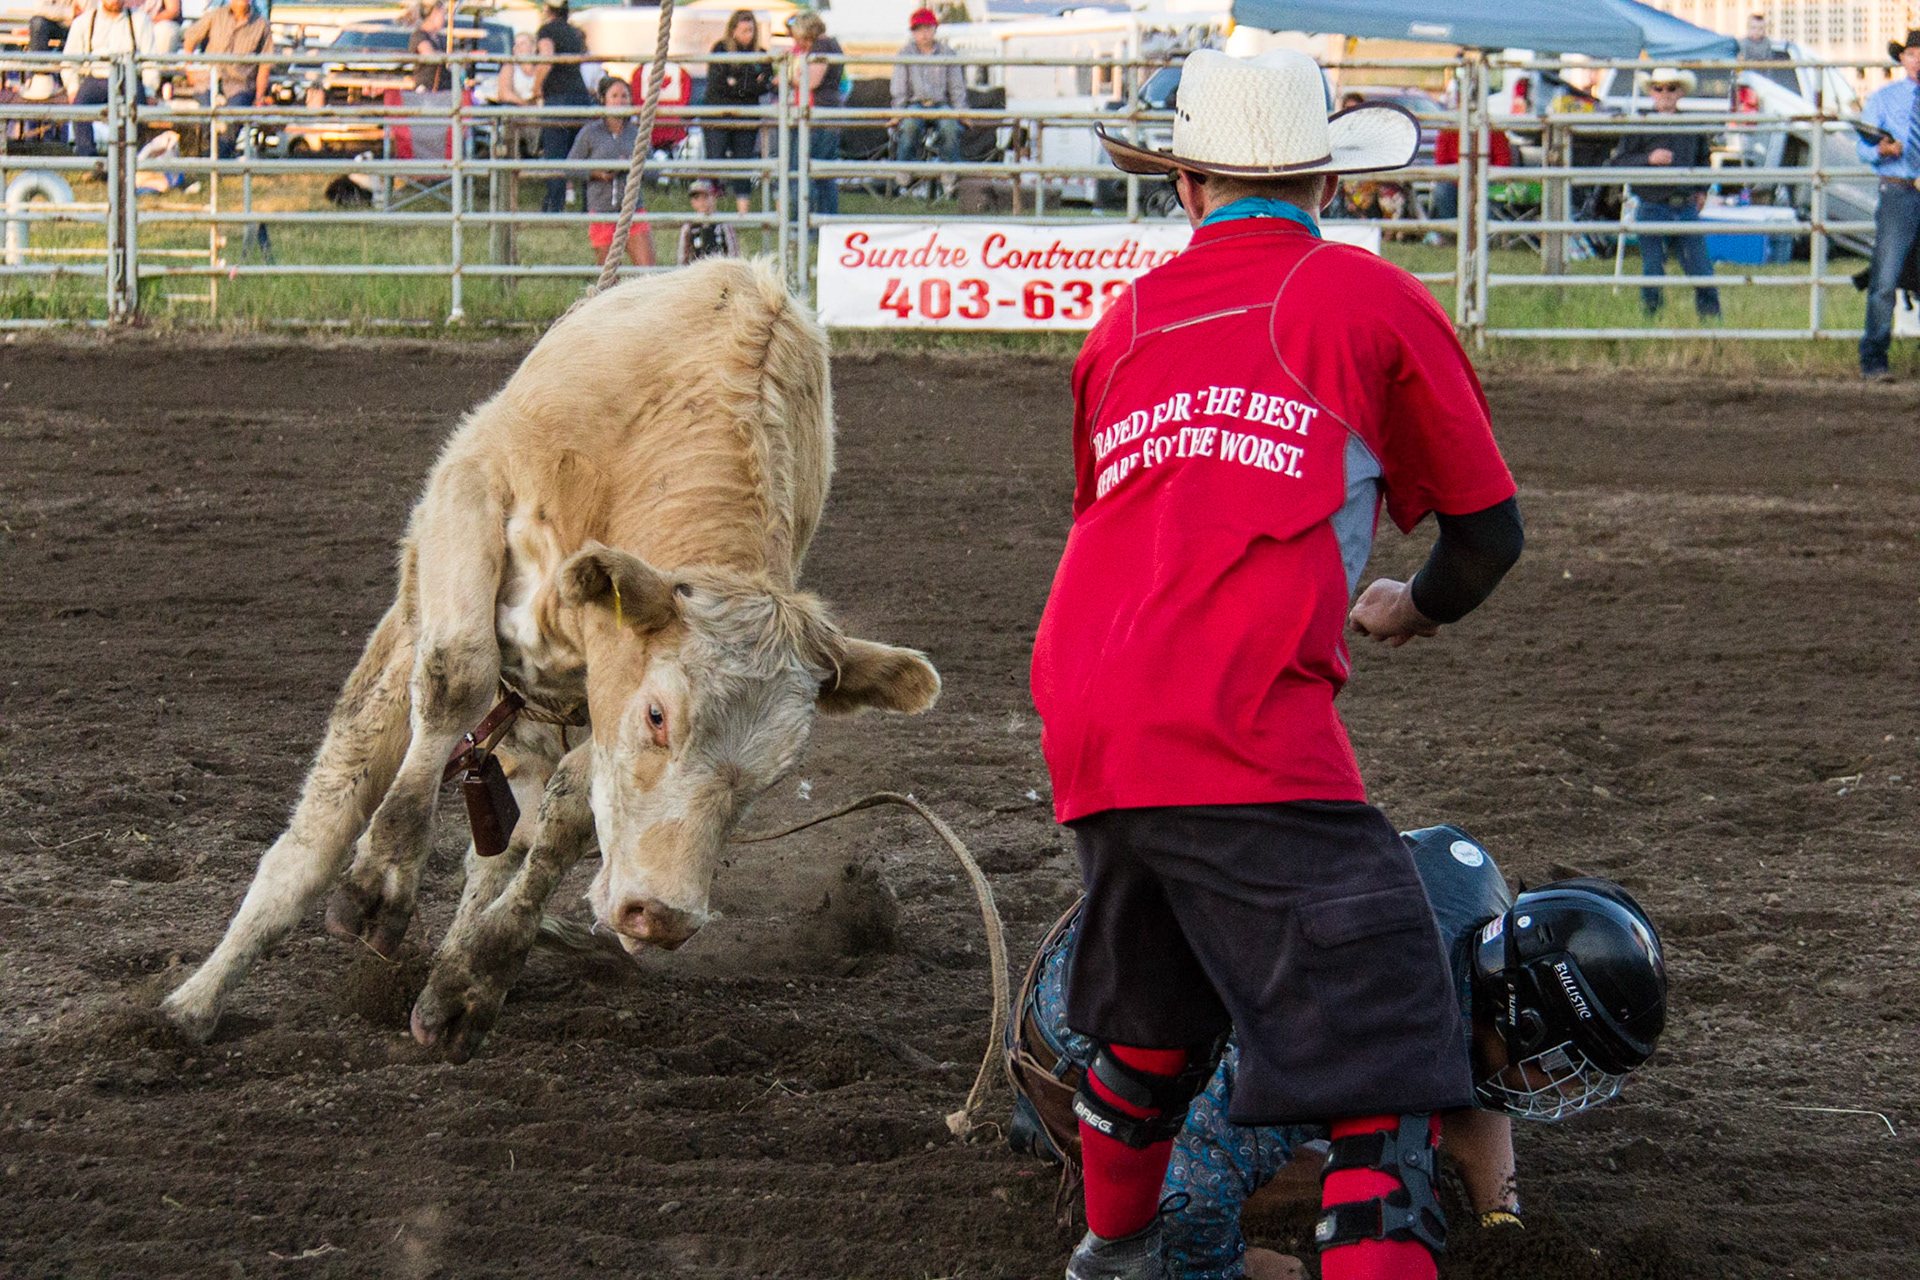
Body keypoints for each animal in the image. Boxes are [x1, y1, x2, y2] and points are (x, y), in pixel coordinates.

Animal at [161, 259, 941, 1059]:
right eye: (658, 716)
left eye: (778, 774)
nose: (663, 917)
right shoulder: (470, 489)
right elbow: (457, 675)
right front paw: (382, 878)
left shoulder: (597, 695)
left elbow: (567, 816)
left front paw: (476, 978)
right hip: (399, 653)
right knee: (324, 824)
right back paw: (192, 1005)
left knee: (499, 851)